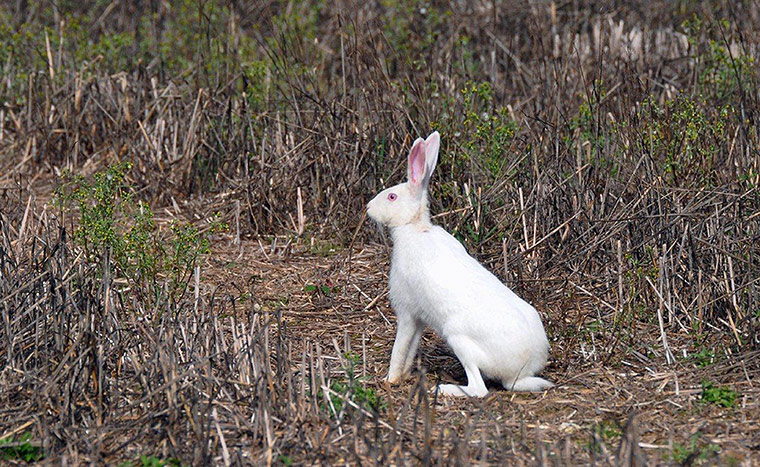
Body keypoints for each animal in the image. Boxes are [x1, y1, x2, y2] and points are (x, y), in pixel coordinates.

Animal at [366, 131, 552, 397]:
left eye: (392, 196)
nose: (369, 207)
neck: (415, 226)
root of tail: (521, 371)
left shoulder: (407, 312)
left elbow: (399, 349)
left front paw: (389, 380)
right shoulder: (420, 319)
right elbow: (411, 349)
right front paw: (405, 375)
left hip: (459, 339)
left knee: (479, 389)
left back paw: (446, 388)